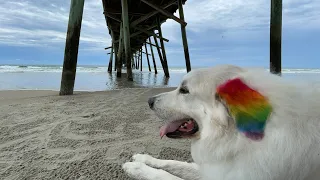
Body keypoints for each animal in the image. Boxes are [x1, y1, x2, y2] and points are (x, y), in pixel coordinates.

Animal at [121, 65, 318, 180]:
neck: (237, 139)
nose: (149, 101)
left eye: (184, 90)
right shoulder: (218, 168)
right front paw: (142, 159)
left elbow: (166, 176)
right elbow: (175, 163)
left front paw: (137, 168)